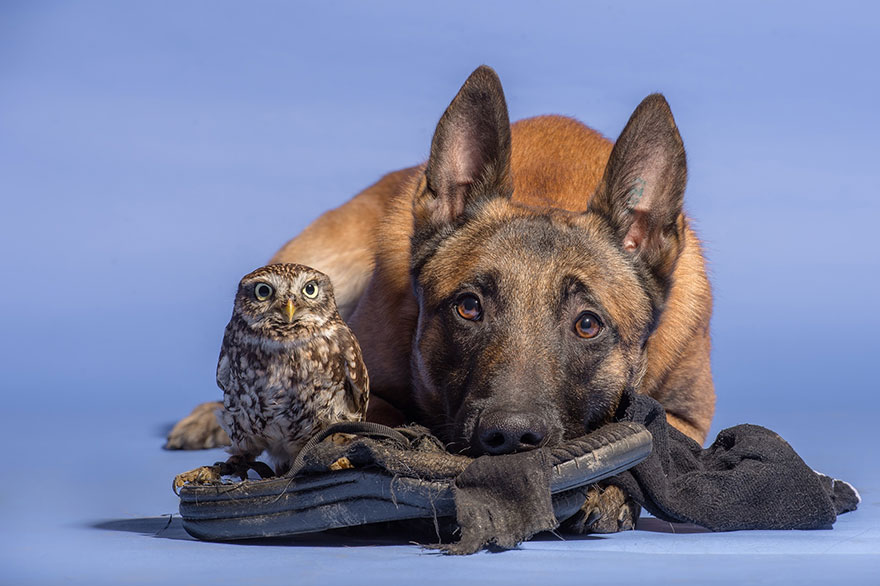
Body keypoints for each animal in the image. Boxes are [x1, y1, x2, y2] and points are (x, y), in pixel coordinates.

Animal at [167, 66, 716, 532]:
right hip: (321, 255)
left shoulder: (686, 420)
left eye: (588, 324)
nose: (510, 440)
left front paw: (611, 485)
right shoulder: (365, 387)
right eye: (468, 307)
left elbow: (655, 442)